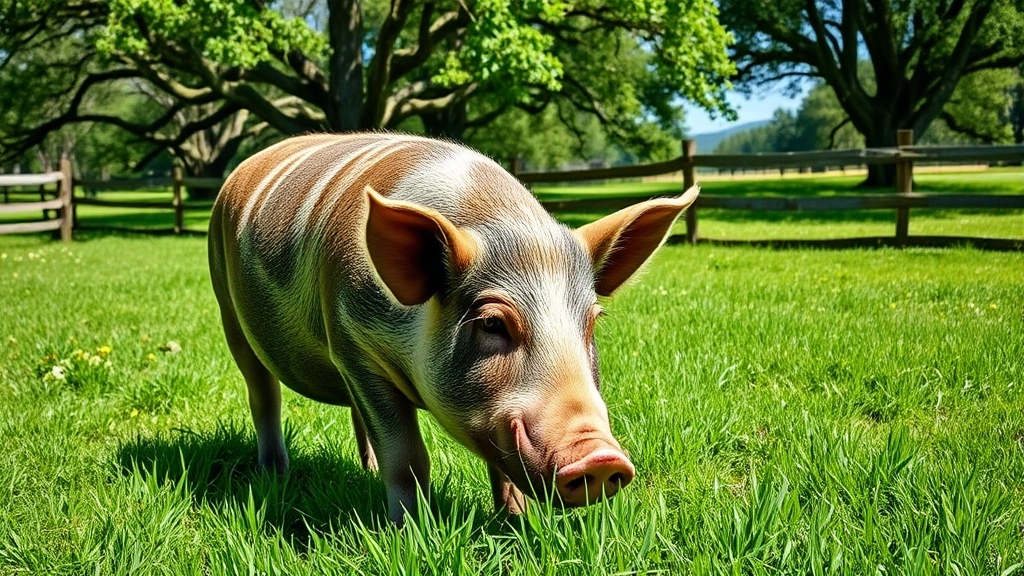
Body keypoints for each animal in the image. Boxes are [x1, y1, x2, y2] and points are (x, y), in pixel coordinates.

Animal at [208, 133, 699, 523]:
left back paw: (364, 471)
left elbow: (501, 464)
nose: (599, 457)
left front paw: (516, 522)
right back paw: (275, 474)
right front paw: (409, 532)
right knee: (262, 395)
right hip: (229, 311)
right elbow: (406, 455)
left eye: (593, 322)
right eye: (492, 323)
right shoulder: (354, 345)